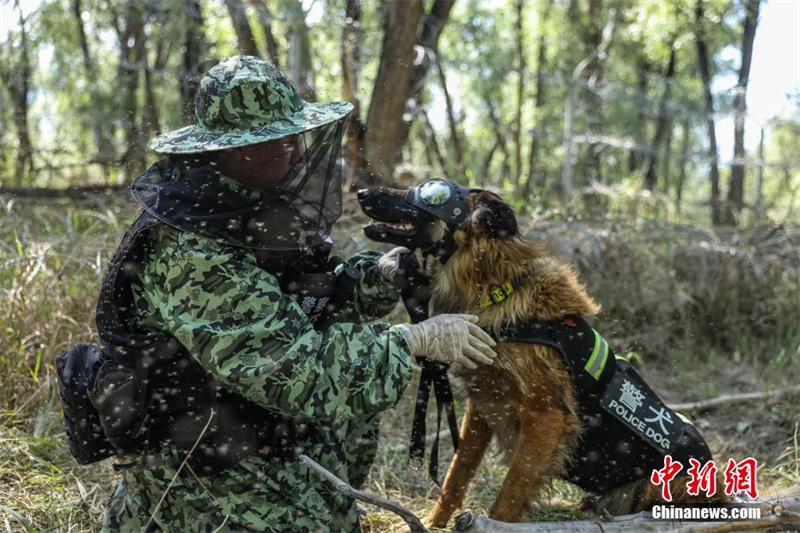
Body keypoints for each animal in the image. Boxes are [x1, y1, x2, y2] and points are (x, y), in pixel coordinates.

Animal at [356, 181, 724, 524]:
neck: (494, 292)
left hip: (672, 481)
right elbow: (455, 476)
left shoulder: (545, 417)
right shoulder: (482, 405)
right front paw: (434, 523)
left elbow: (508, 495)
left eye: (431, 192)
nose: (360, 193)